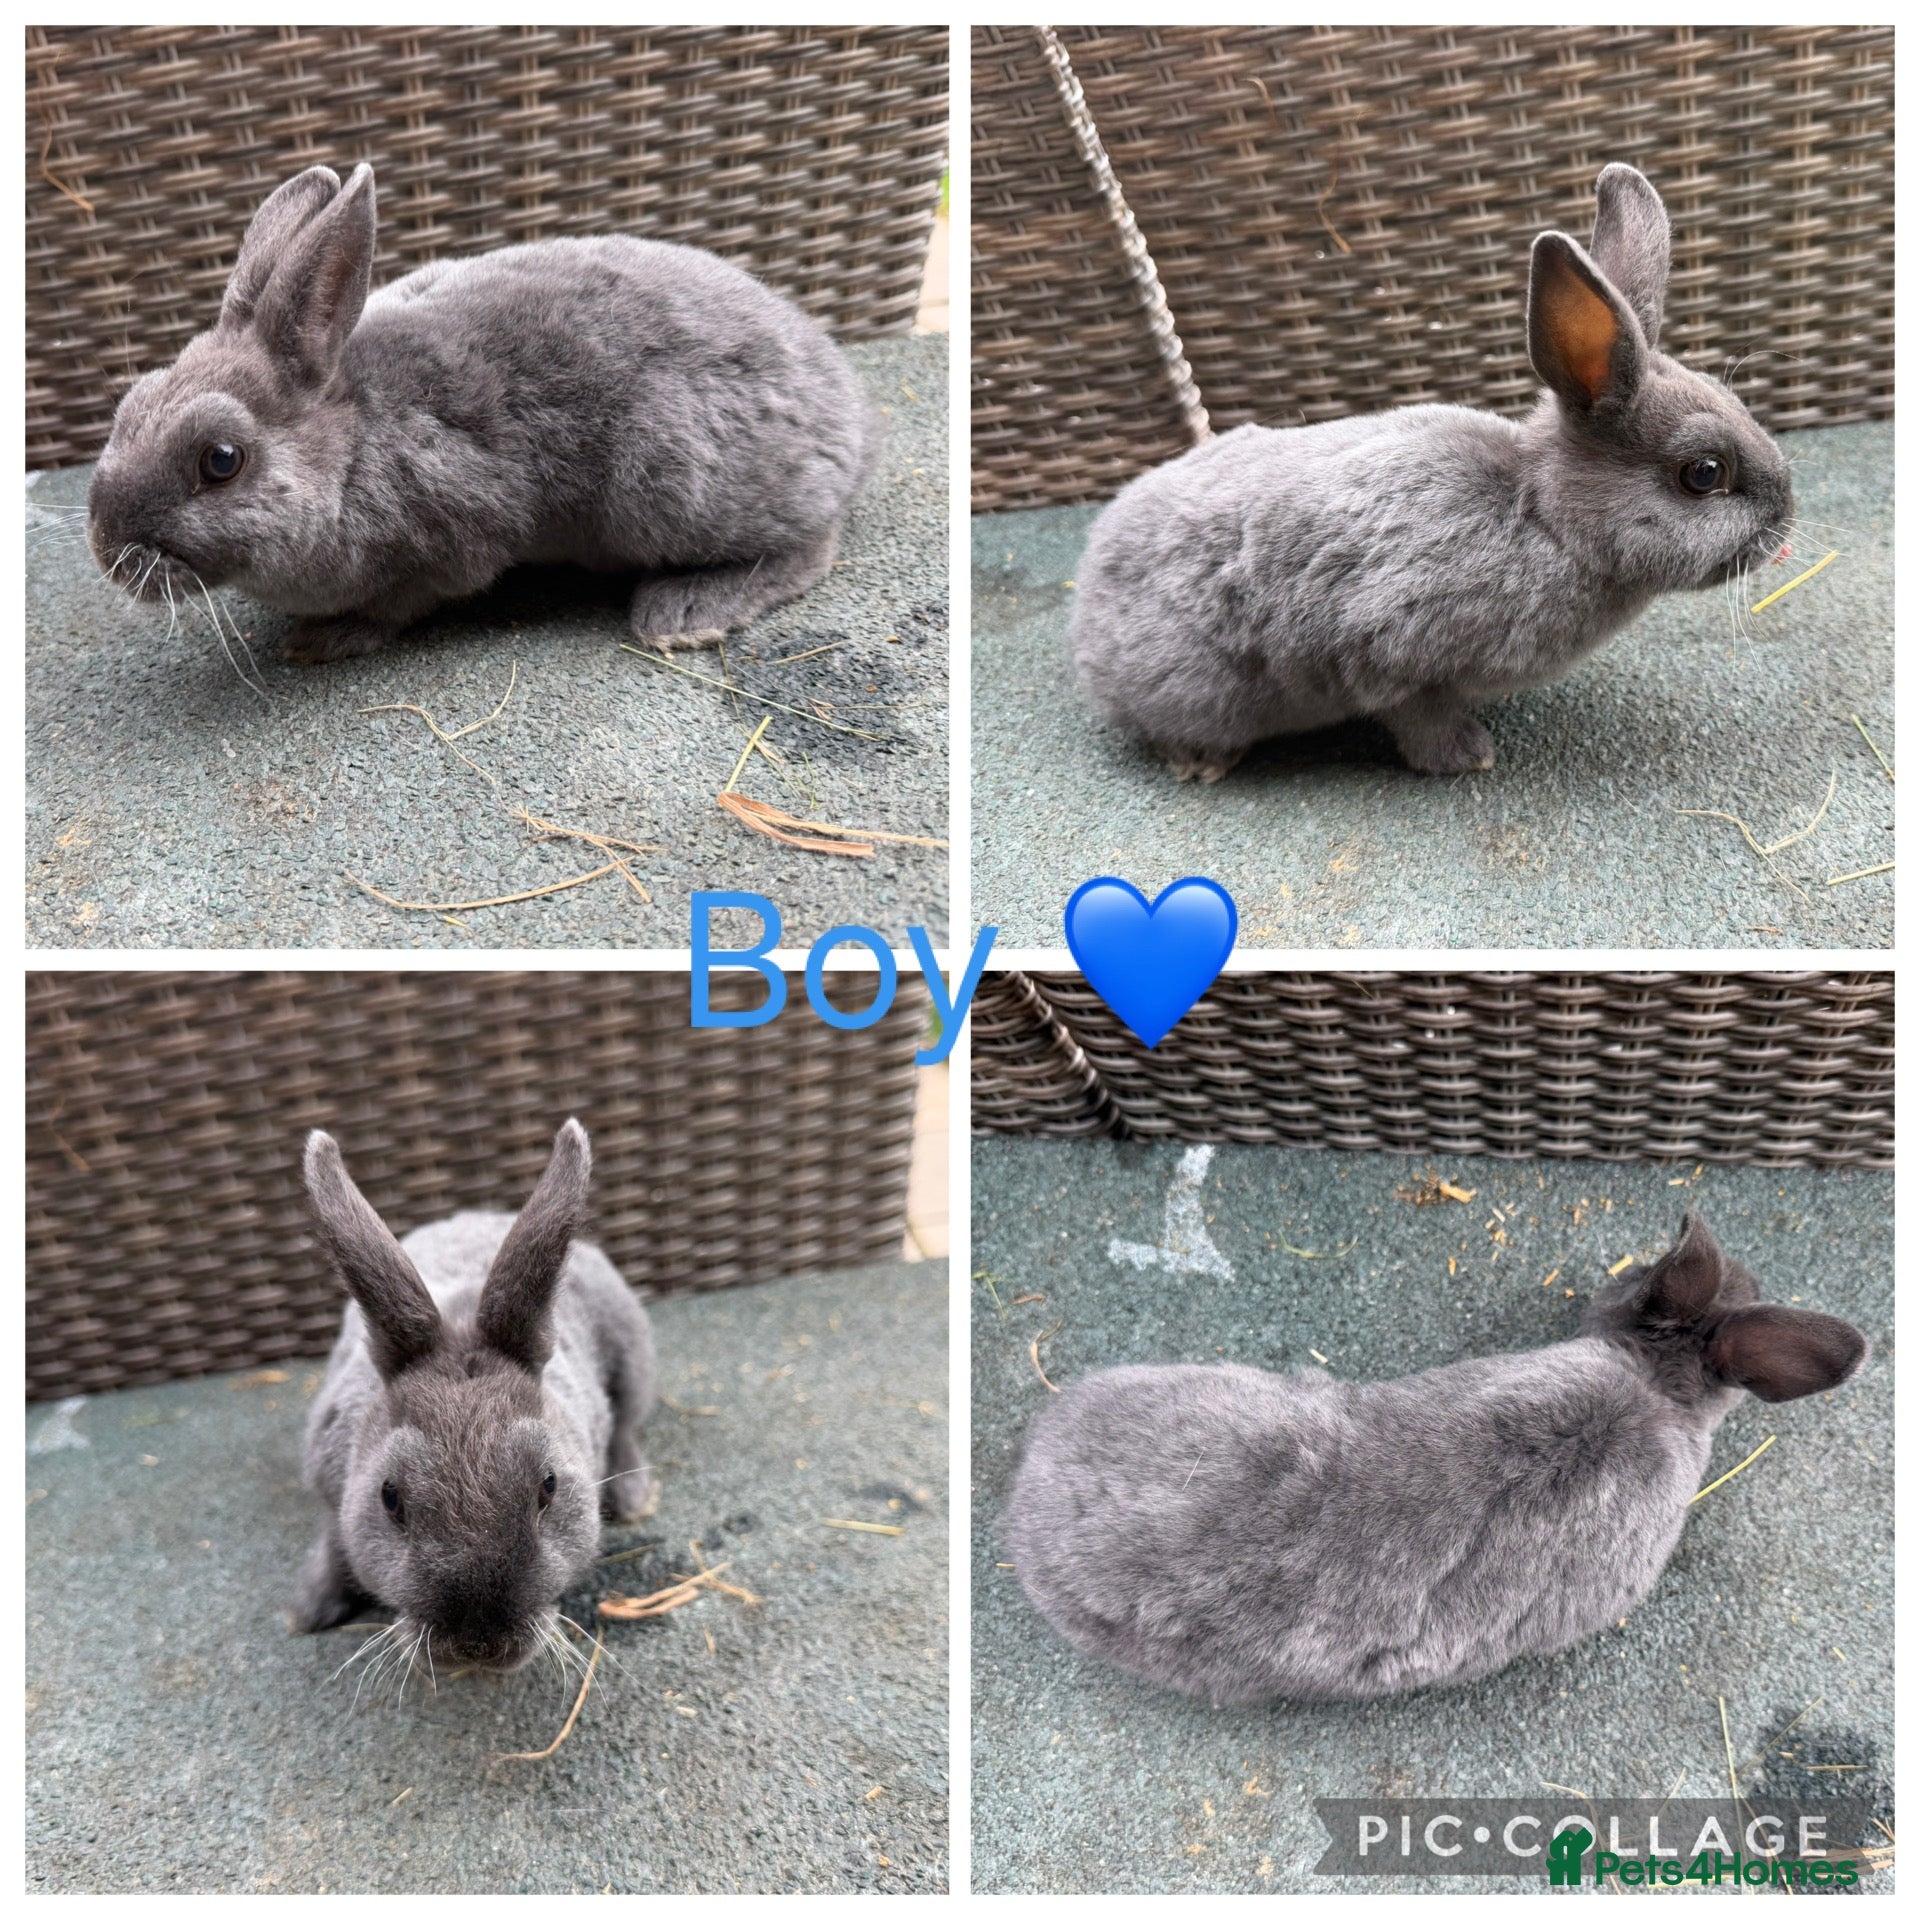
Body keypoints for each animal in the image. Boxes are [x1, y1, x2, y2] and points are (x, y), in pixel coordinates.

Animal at [86, 163, 877, 664]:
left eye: (220, 461)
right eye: (130, 404)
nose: (106, 553)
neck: (353, 448)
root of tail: (847, 407)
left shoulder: (451, 539)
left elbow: (401, 603)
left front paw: (320, 642)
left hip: (669, 487)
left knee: (810, 544)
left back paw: (682, 615)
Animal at [290, 1117, 657, 1676]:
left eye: (549, 1486)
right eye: (389, 1496)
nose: (478, 1644)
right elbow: (336, 1540)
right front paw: (307, 1611)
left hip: (633, 1356)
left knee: (627, 1430)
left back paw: (633, 1497)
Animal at [1070, 164, 1796, 779]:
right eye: (1703, 472)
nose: (1787, 519)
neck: (1542, 518)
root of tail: (1087, 613)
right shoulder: (1390, 652)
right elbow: (1418, 715)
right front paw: (1468, 758)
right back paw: (1201, 764)